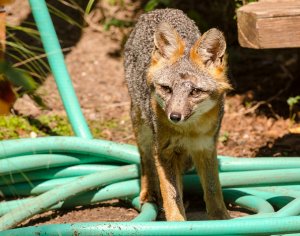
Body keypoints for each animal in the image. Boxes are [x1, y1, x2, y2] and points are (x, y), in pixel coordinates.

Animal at [124, 7, 232, 221]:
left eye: (195, 92)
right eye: (167, 89)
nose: (174, 116)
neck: (189, 131)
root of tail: (162, 10)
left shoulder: (206, 147)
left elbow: (213, 188)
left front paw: (221, 219)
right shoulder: (164, 151)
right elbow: (171, 193)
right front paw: (176, 221)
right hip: (142, 128)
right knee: (146, 160)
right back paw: (150, 192)